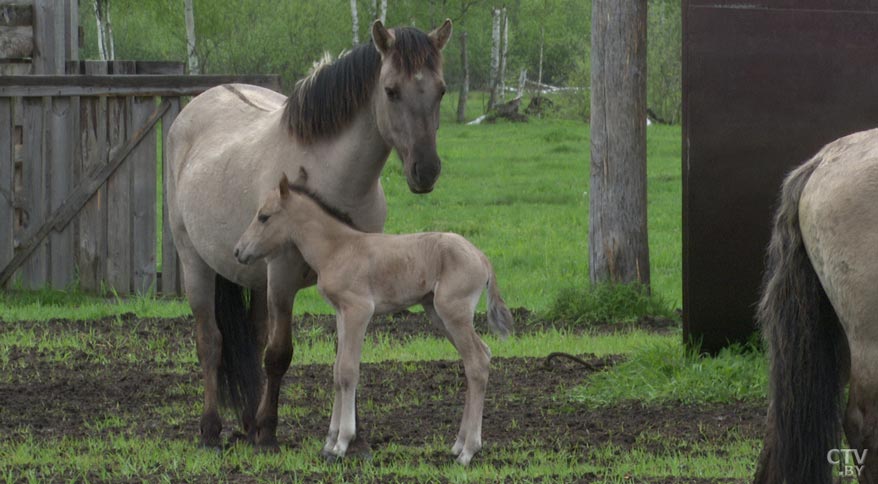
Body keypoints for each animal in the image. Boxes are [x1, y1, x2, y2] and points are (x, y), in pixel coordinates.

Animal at [166, 18, 454, 450]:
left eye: (441, 89)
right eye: (391, 90)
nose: (427, 170)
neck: (332, 176)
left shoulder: (355, 283)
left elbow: (347, 356)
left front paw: (354, 437)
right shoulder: (283, 275)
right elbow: (279, 354)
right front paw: (269, 433)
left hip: (255, 276)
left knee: (252, 338)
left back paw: (247, 422)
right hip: (196, 264)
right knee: (211, 343)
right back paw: (213, 430)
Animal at [232, 171, 516, 466]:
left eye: (264, 216)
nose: (238, 251)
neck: (338, 249)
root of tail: (482, 258)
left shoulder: (359, 310)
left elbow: (348, 371)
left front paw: (342, 444)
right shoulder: (341, 313)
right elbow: (336, 371)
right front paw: (329, 443)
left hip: (453, 312)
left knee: (477, 361)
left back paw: (469, 451)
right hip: (438, 314)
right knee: (480, 355)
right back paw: (458, 445)